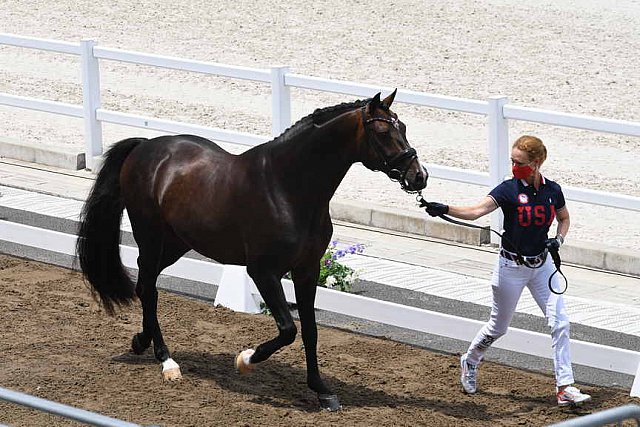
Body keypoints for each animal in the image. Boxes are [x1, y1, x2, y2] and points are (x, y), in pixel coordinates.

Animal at [77, 91, 430, 412]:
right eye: (382, 132)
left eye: (404, 126)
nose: (419, 176)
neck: (287, 187)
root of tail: (145, 146)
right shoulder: (263, 271)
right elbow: (288, 329)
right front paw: (246, 359)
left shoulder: (307, 269)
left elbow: (310, 330)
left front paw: (321, 390)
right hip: (151, 236)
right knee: (149, 289)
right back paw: (167, 362)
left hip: (178, 242)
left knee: (144, 285)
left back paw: (142, 342)